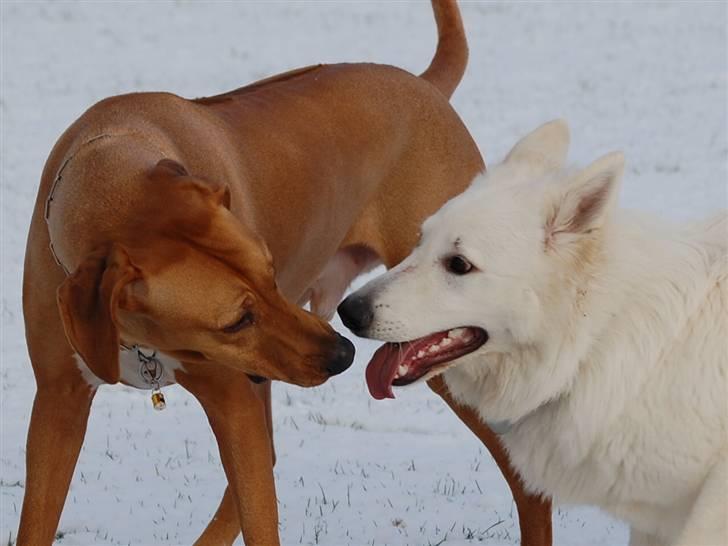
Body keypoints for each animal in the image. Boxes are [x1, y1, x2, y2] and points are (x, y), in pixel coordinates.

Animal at [19, 2, 548, 540]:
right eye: (236, 320)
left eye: (271, 272)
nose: (342, 356)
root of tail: (423, 84)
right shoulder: (58, 400)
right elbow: (37, 513)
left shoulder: (234, 401)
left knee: (528, 482)